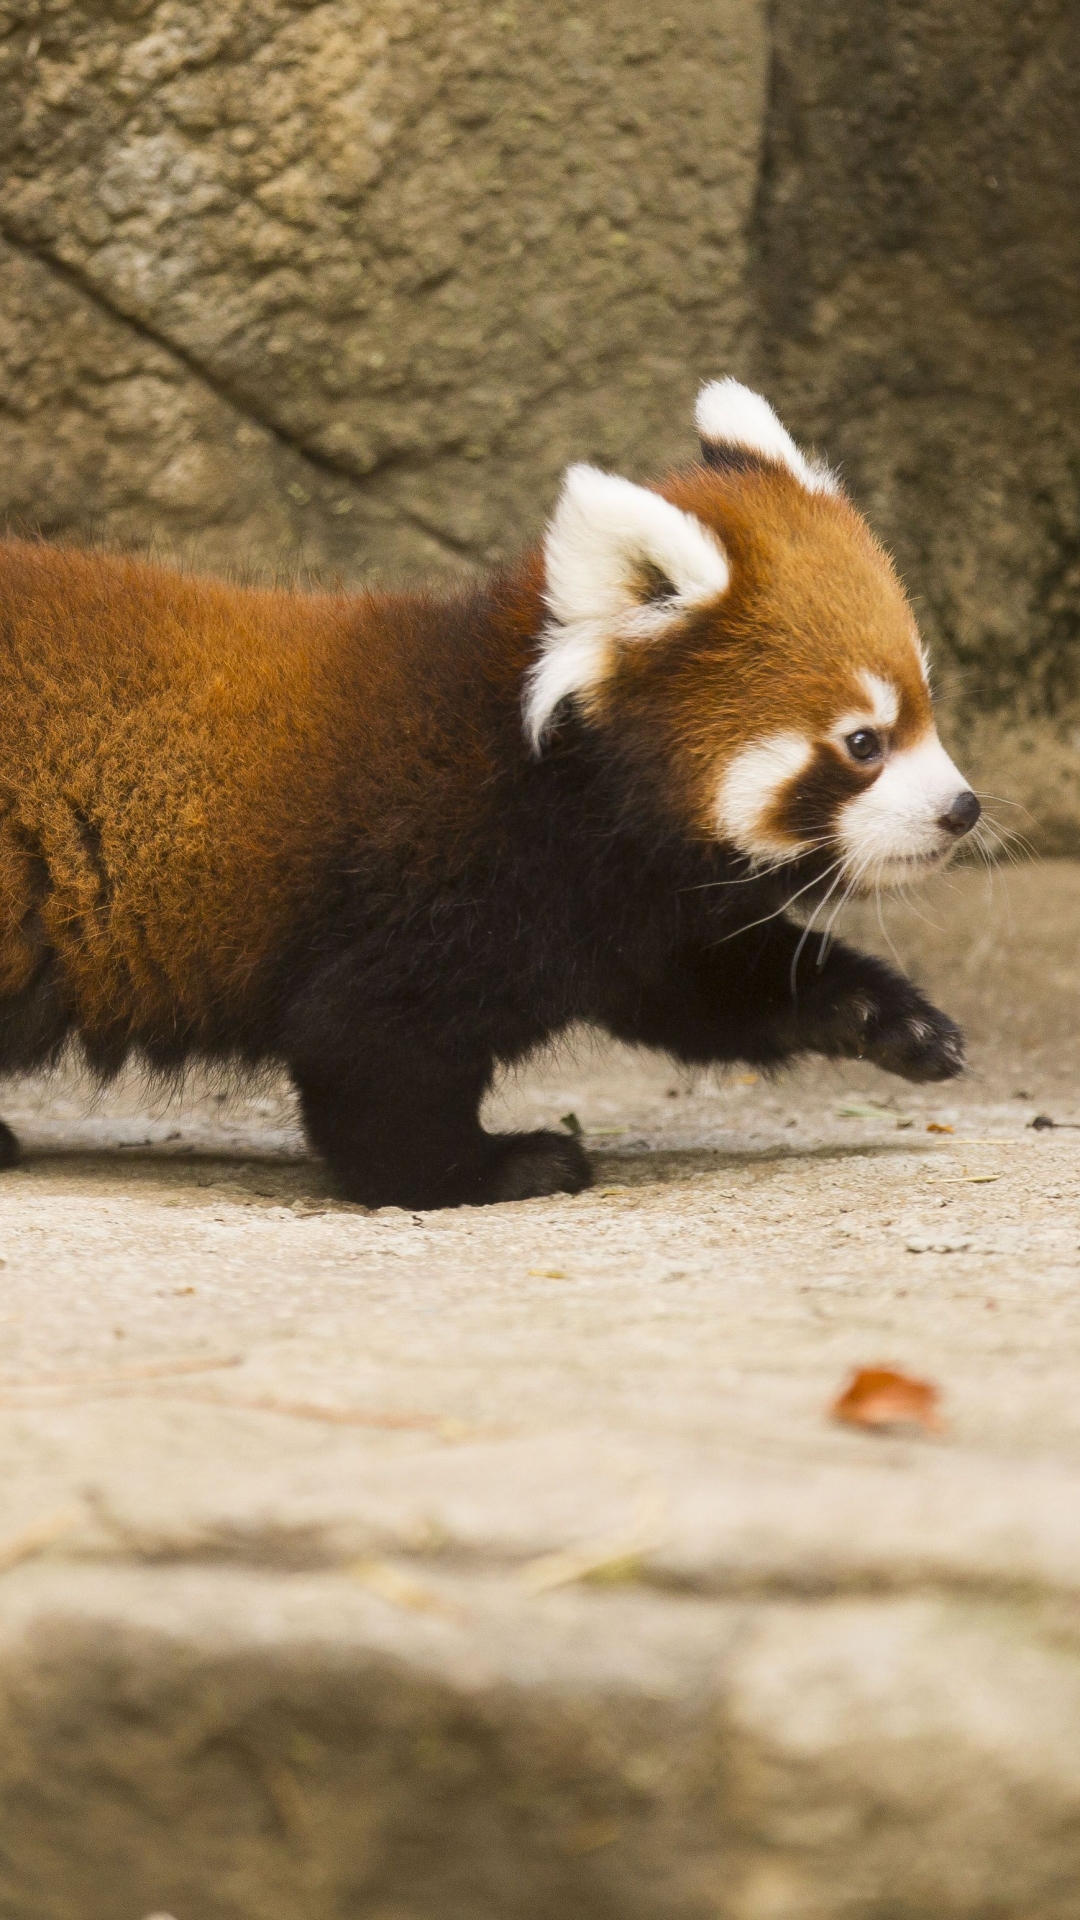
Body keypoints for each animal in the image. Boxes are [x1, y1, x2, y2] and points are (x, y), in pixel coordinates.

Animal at [0, 380, 979, 1208]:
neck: (560, 781)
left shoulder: (630, 912)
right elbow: (368, 1052)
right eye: (863, 743)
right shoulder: (431, 879)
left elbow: (709, 984)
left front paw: (888, 1018)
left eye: (926, 709)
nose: (963, 811)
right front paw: (489, 1168)